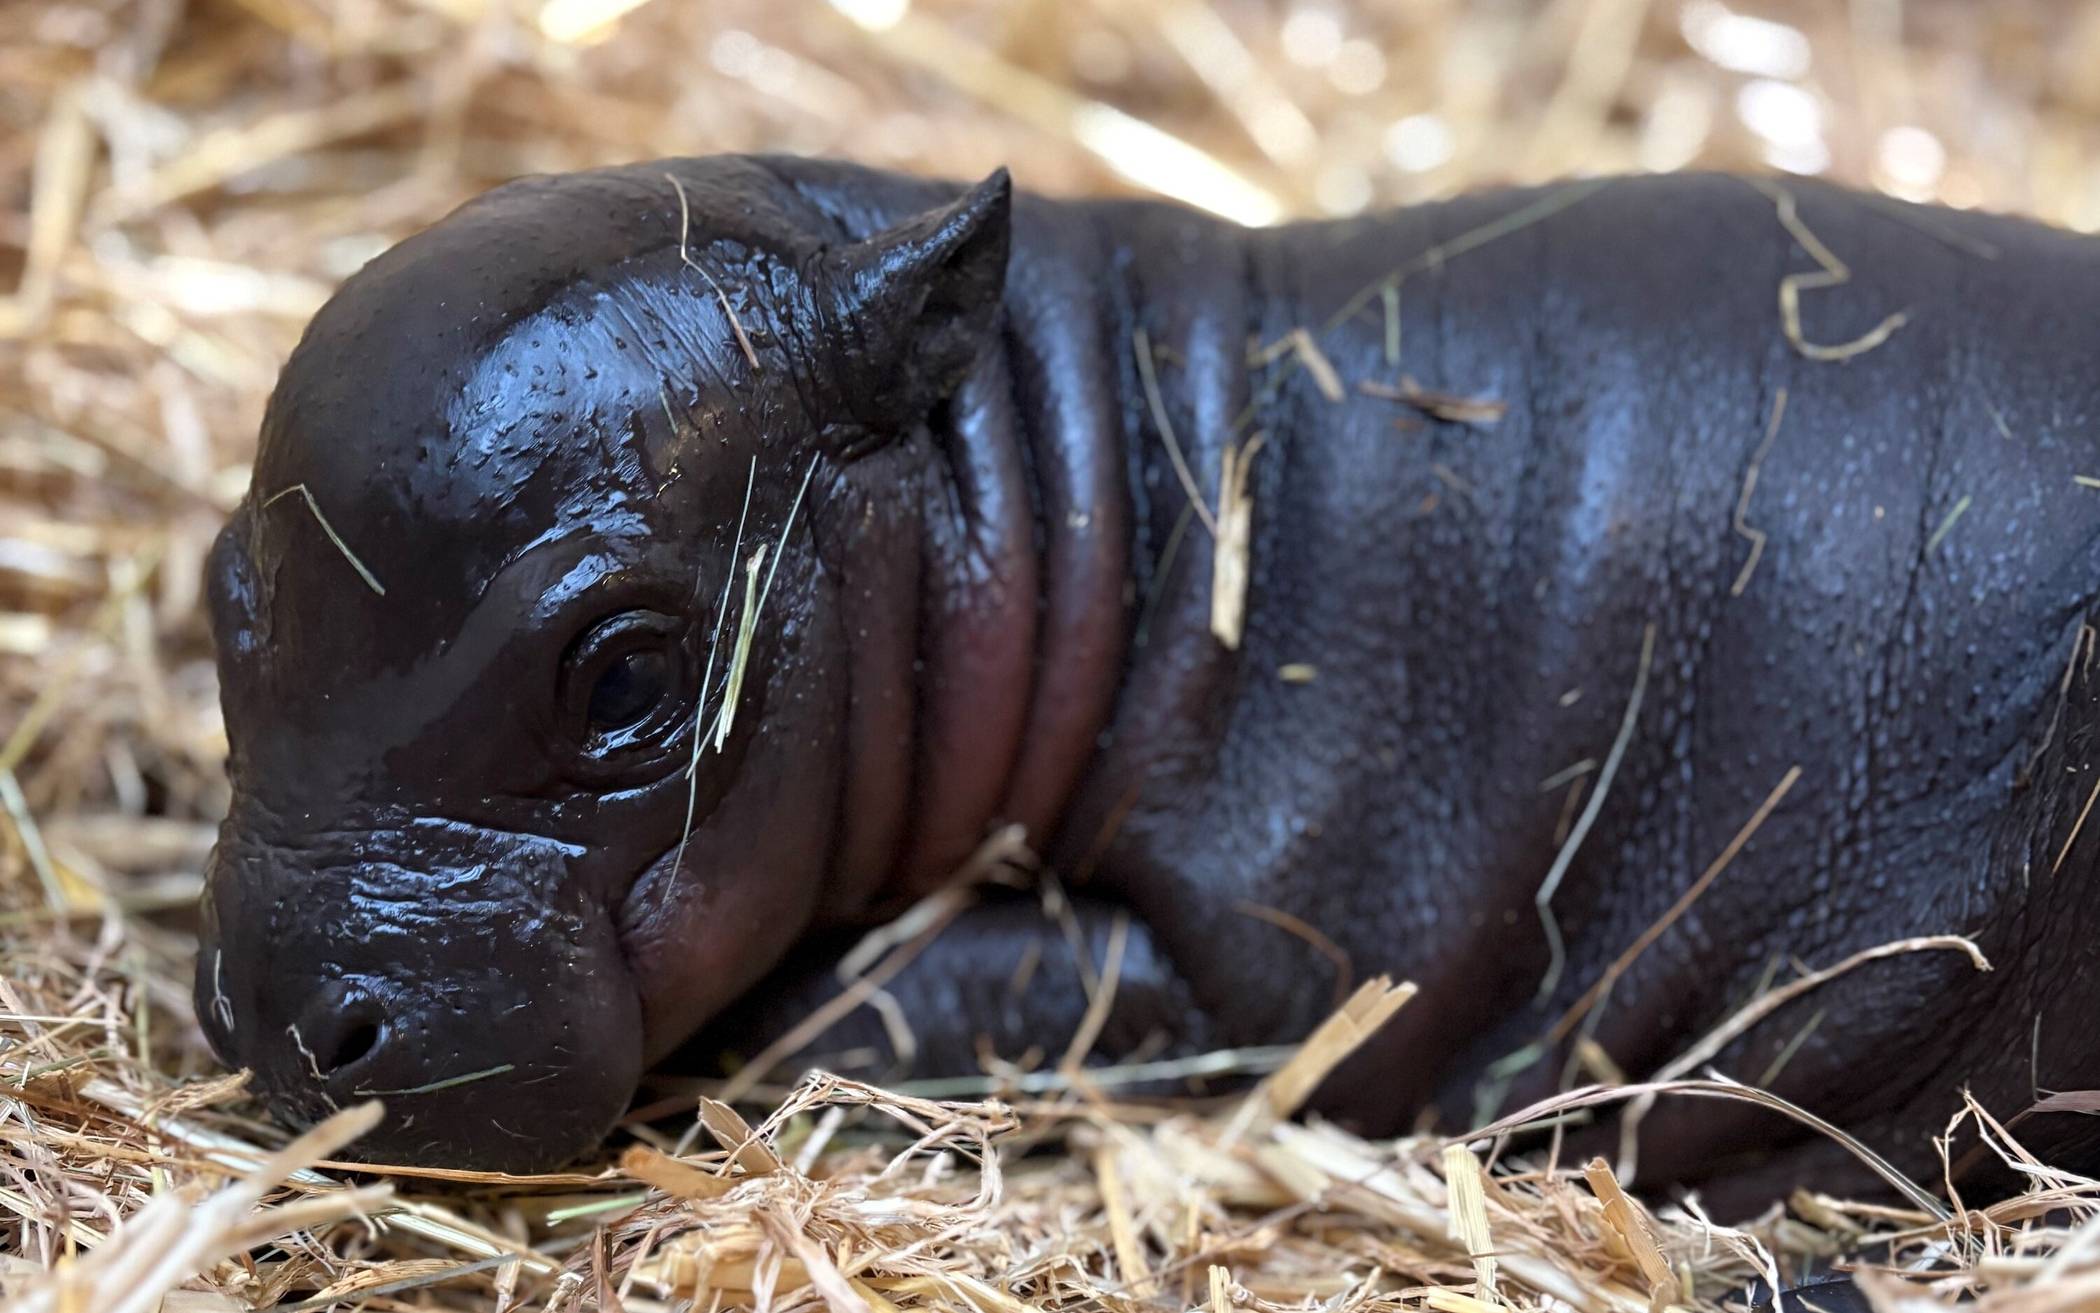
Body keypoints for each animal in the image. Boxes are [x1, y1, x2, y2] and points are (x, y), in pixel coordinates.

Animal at [198, 154, 2100, 1212]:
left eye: (623, 677)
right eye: (229, 593)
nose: (287, 1010)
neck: (1098, 473)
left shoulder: (1287, 961)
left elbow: (891, 998)